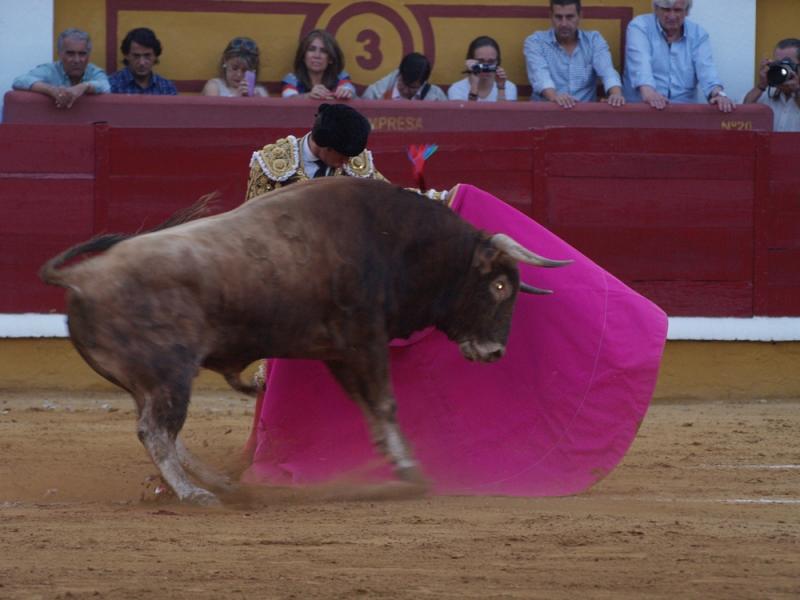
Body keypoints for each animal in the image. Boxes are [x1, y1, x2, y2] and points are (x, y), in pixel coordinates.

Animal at [40, 178, 568, 506]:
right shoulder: (366, 337)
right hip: (170, 372)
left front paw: (395, 461)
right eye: (499, 285)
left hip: (147, 379)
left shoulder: (341, 350)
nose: (494, 352)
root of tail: (80, 278)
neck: (395, 240)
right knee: (156, 431)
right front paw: (410, 470)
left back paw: (221, 483)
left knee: (162, 431)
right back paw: (196, 495)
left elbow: (368, 406)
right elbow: (385, 402)